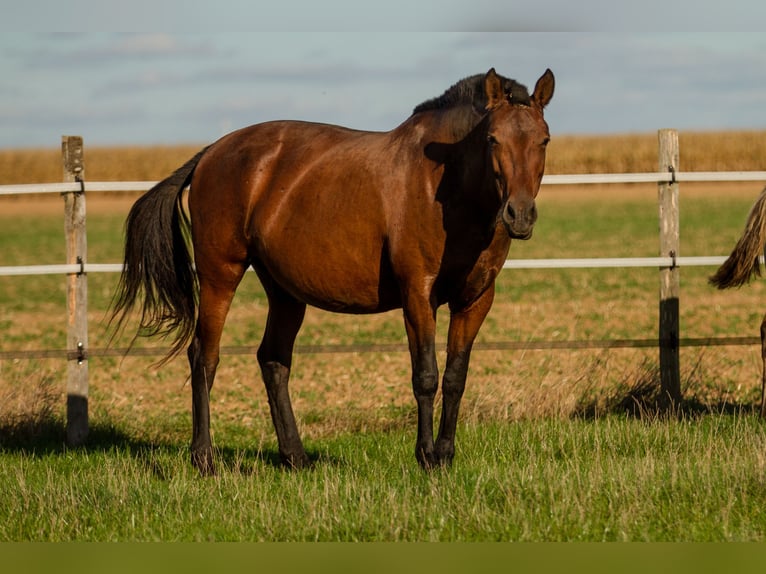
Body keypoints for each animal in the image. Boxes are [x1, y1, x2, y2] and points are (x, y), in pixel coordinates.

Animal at [111, 67, 556, 474]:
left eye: (544, 139)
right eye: (492, 139)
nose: (519, 215)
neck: (444, 188)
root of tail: (210, 153)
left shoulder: (476, 300)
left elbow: (455, 377)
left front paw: (445, 456)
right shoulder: (417, 294)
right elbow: (426, 376)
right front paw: (426, 457)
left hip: (284, 291)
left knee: (273, 360)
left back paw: (296, 458)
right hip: (221, 272)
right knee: (205, 355)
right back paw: (204, 459)